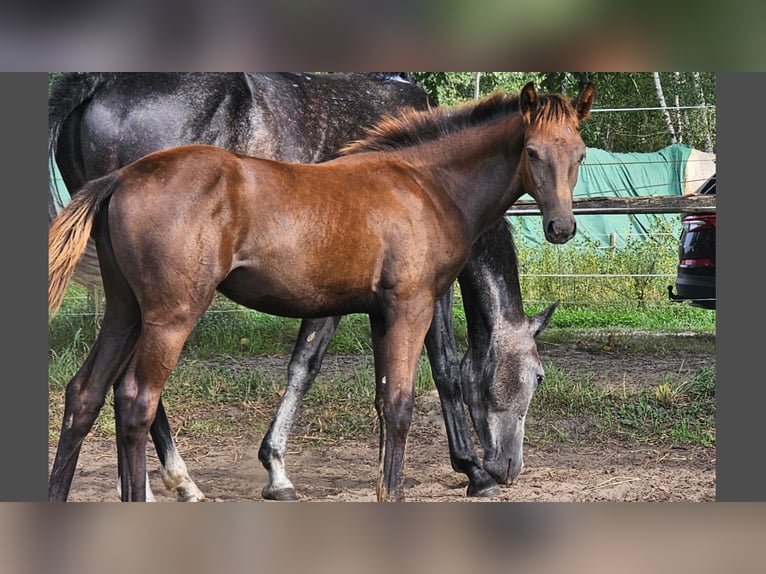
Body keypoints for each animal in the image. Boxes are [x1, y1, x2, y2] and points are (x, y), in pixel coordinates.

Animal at [49, 72, 560, 502]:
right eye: (537, 376)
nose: (507, 468)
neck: (430, 179)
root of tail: (95, 83)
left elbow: (311, 368)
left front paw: (279, 470)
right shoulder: (417, 295)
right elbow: (442, 369)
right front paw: (470, 469)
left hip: (131, 304)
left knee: (99, 390)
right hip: (169, 309)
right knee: (138, 395)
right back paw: (171, 484)